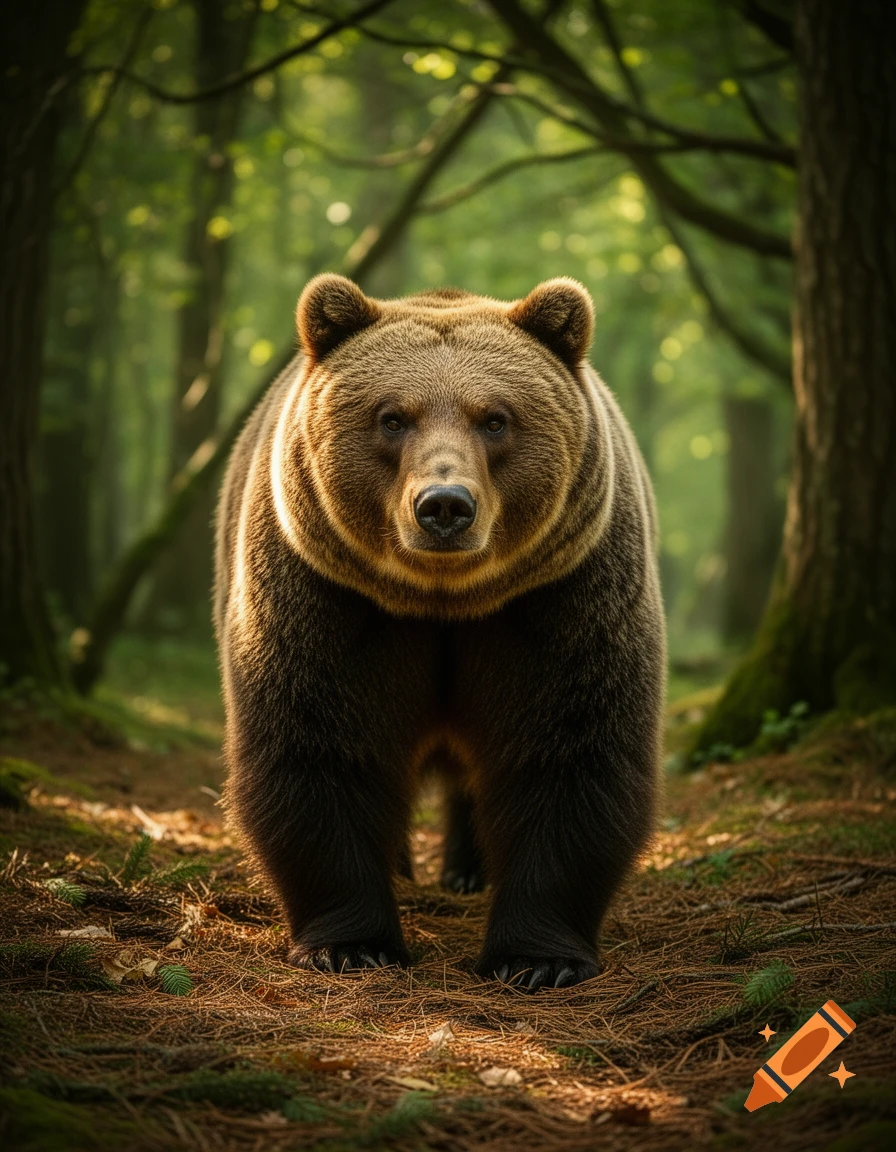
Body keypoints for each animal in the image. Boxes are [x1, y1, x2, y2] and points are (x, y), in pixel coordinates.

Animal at [214, 273, 665, 990]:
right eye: (392, 417)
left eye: (496, 418)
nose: (445, 506)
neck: (444, 603)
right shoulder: (322, 595)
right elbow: (319, 745)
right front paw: (351, 943)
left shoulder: (565, 596)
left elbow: (571, 748)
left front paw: (536, 957)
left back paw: (466, 870)